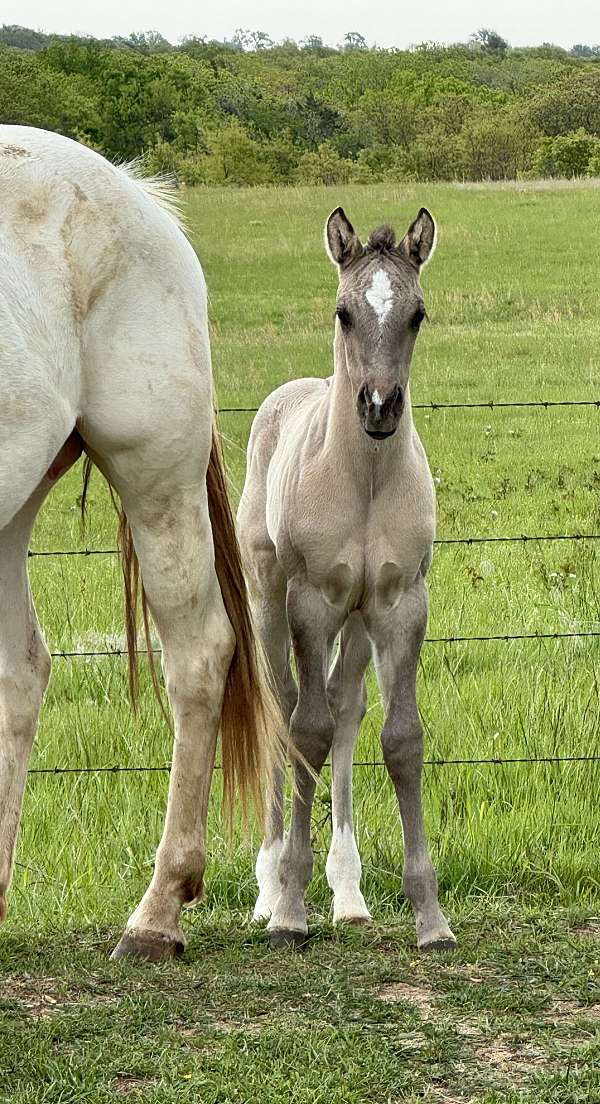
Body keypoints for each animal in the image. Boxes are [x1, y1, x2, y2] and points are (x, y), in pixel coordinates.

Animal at [239, 210, 455, 953]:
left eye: (416, 314)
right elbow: (304, 731)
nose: (380, 406)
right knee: (284, 708)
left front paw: (430, 917)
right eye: (344, 312)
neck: (361, 481)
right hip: (268, 604)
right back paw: (267, 885)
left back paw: (349, 894)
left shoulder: (399, 603)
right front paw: (288, 909)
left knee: (346, 709)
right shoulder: (311, 602)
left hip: (358, 626)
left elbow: (402, 740)